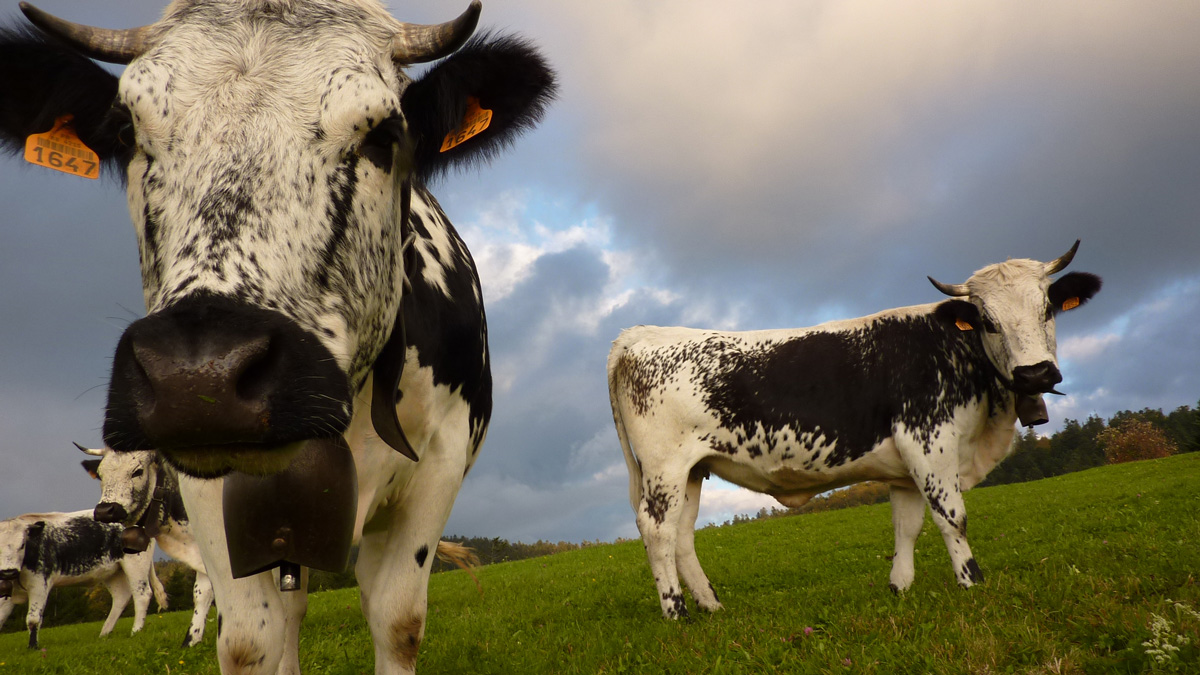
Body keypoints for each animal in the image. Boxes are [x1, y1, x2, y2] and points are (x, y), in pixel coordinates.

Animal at [0, 509, 169, 648]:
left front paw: (33, 647)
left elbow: (33, 619)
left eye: (22, 544)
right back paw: (104, 634)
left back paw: (136, 631)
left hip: (136, 564)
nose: (8, 572)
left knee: (142, 594)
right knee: (121, 597)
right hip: (112, 572)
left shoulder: (39, 584)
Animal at [614, 240, 1099, 614]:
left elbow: (907, 525)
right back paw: (676, 612)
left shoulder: (905, 467)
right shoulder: (929, 441)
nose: (1035, 374)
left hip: (693, 470)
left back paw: (712, 606)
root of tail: (640, 334)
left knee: (681, 534)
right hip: (664, 468)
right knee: (657, 530)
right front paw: (971, 584)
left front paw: (899, 587)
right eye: (987, 321)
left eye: (1047, 310)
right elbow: (952, 518)